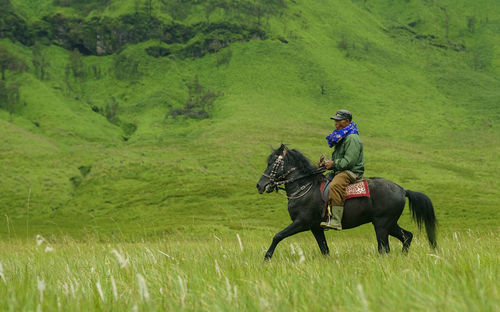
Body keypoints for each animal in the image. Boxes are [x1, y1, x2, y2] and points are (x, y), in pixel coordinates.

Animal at [256, 144, 436, 260]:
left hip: (382, 225)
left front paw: (266, 257)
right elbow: (325, 250)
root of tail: (402, 190)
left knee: (384, 248)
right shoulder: (315, 228)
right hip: (389, 224)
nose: (260, 185)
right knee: (407, 236)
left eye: (272, 163)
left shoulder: (302, 223)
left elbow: (277, 236)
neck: (305, 186)